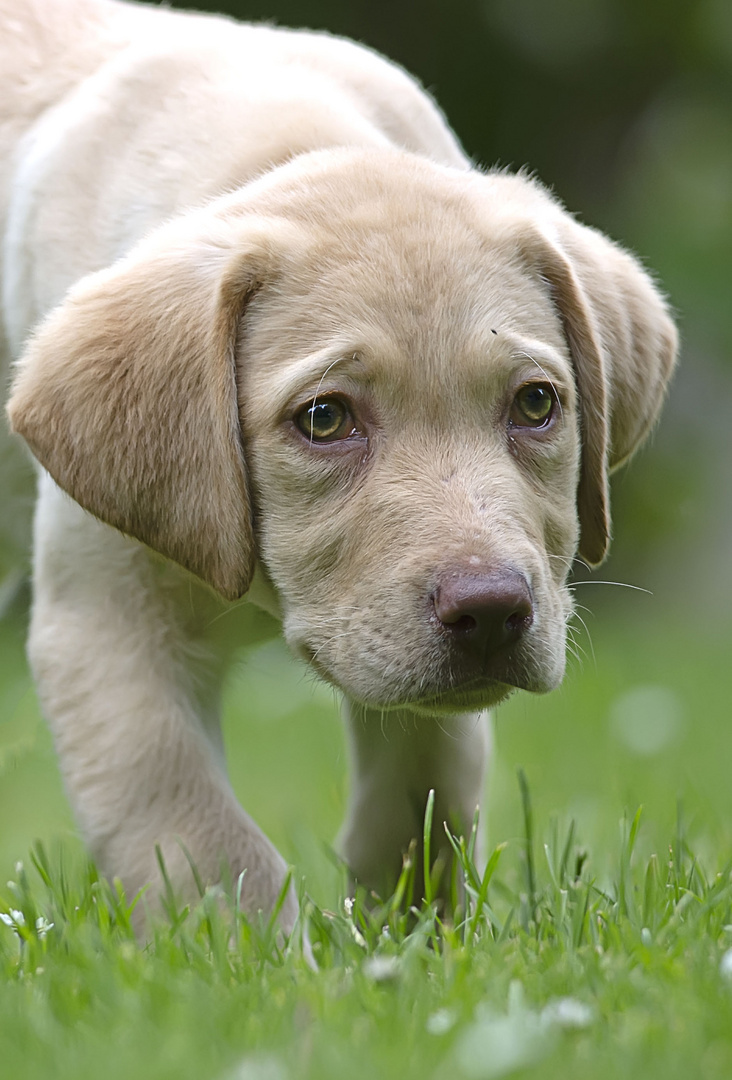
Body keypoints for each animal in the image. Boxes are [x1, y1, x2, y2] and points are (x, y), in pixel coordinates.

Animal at [0, 0, 678, 928]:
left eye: (537, 405)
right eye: (324, 419)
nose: (492, 612)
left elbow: (428, 787)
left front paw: (403, 931)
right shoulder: (104, 628)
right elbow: (200, 840)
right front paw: (268, 958)